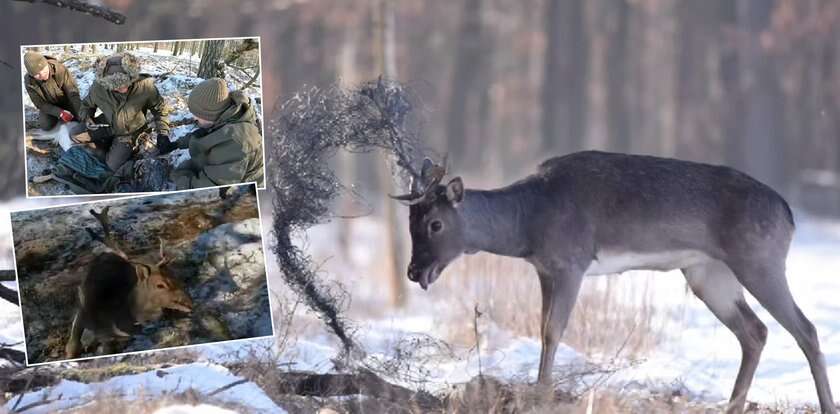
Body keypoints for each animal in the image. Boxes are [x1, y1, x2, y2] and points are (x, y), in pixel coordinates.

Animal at [390, 151, 836, 414]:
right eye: (409, 222)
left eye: (435, 223)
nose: (414, 271)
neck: (528, 222)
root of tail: (789, 214)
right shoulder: (546, 269)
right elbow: (543, 328)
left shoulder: (571, 261)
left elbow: (552, 331)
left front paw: (543, 393)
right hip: (708, 273)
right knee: (754, 331)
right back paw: (732, 405)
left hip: (760, 259)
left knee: (805, 329)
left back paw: (826, 405)